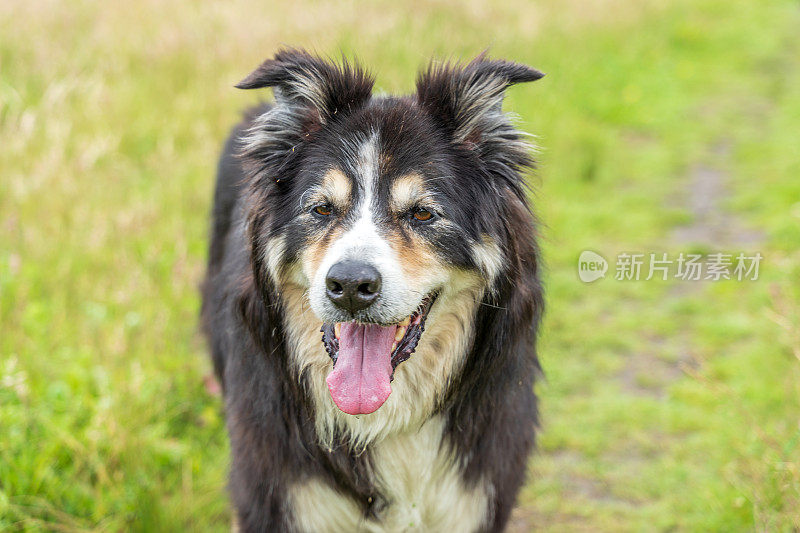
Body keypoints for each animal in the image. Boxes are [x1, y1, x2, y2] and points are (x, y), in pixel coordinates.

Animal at [203, 47, 548, 528]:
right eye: (322, 209)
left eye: (422, 213)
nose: (350, 285)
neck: (384, 418)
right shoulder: (280, 492)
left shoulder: (476, 491)